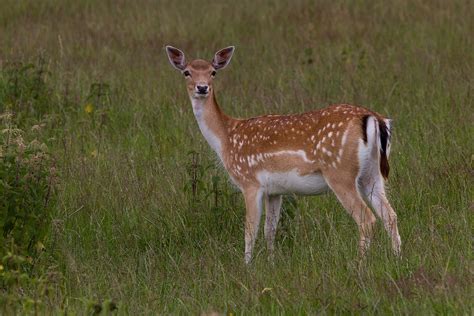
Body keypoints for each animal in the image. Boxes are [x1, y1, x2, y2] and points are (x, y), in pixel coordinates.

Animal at [166, 45, 400, 262]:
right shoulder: (274, 191)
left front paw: (247, 266)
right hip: (372, 174)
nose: (202, 87)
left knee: (367, 219)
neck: (226, 138)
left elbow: (250, 231)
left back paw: (360, 265)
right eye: (187, 72)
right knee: (390, 215)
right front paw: (271, 262)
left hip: (340, 173)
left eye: (213, 72)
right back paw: (397, 259)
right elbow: (270, 230)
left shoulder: (250, 182)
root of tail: (374, 119)